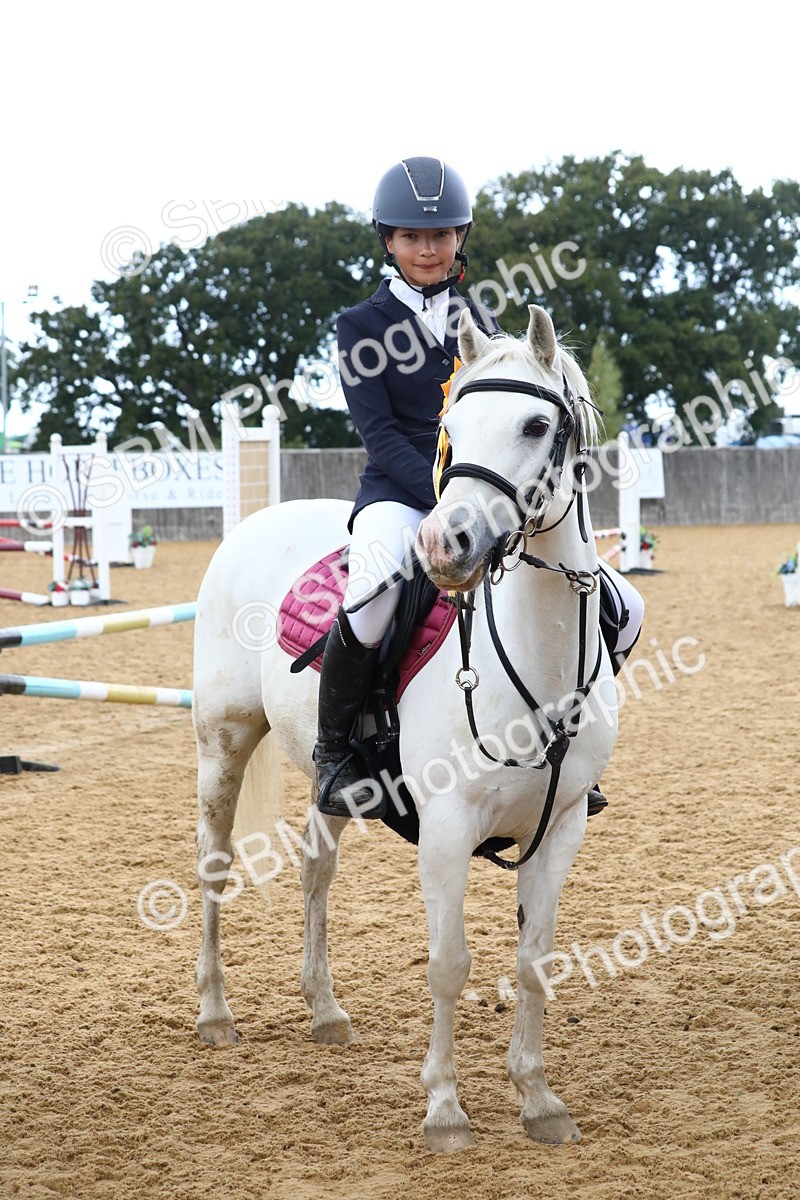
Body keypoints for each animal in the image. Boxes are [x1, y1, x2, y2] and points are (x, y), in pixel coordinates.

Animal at [191, 303, 618, 1152]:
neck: (540, 661)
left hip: (327, 781)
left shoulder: (560, 829)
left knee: (316, 872)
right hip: (222, 743)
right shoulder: (447, 830)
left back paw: (325, 1011)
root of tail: (258, 522)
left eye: (535, 424)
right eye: (451, 425)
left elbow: (535, 959)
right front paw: (446, 1110)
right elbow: (448, 964)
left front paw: (538, 1101)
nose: (444, 546)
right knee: (215, 866)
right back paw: (216, 1014)